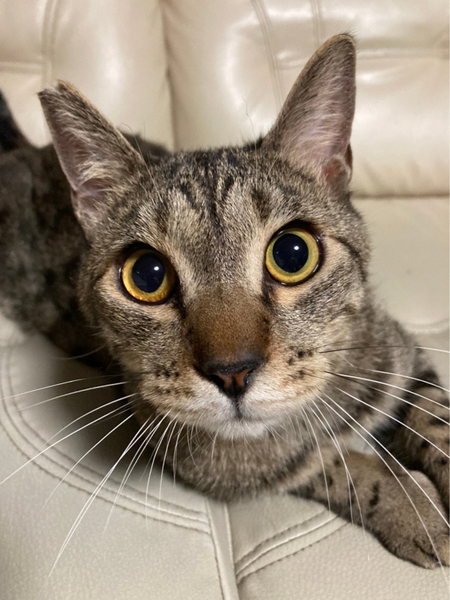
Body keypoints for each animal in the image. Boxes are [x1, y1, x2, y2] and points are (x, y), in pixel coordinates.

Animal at [0, 34, 448, 569]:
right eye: (146, 275)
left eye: (292, 253)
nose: (232, 371)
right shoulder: (230, 466)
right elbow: (339, 464)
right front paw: (411, 506)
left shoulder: (406, 358)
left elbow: (437, 421)